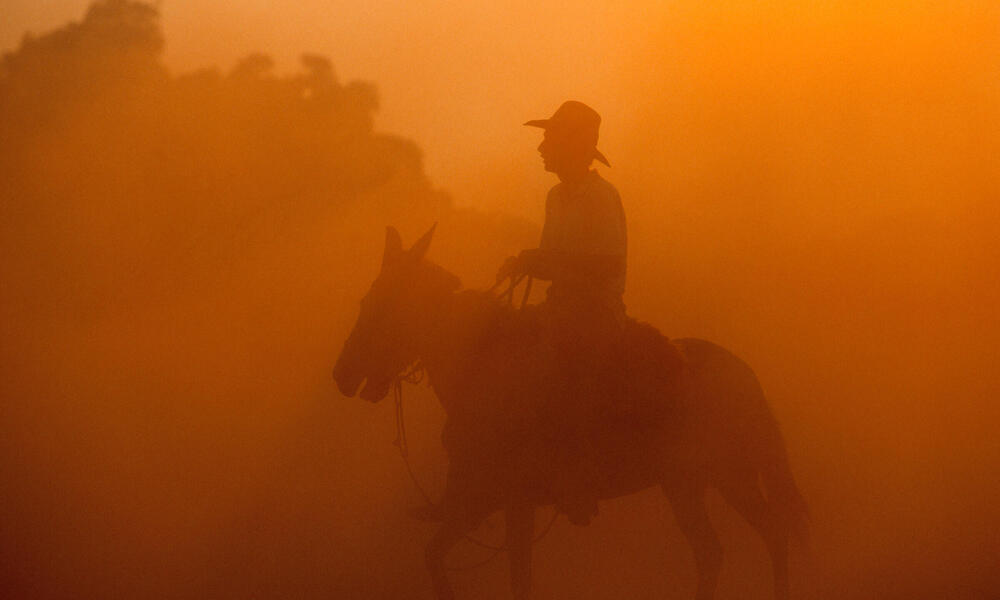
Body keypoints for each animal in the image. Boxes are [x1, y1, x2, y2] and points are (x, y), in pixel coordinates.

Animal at [332, 226, 808, 600]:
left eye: (379, 302)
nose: (343, 374)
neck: (480, 368)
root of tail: (743, 374)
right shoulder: (481, 500)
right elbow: (435, 555)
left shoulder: (514, 501)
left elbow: (517, 580)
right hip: (713, 478)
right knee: (751, 538)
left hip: (705, 478)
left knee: (735, 544)